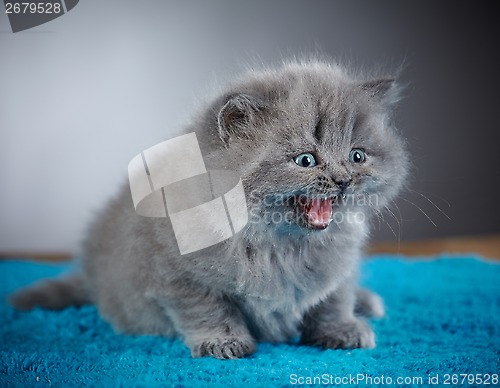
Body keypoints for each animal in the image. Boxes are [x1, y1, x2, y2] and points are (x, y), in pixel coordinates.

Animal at [10, 60, 410, 360]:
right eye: (305, 160)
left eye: (357, 155)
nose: (344, 180)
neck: (280, 245)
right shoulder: (173, 272)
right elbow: (209, 306)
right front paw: (224, 341)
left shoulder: (339, 263)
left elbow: (333, 297)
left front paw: (342, 329)